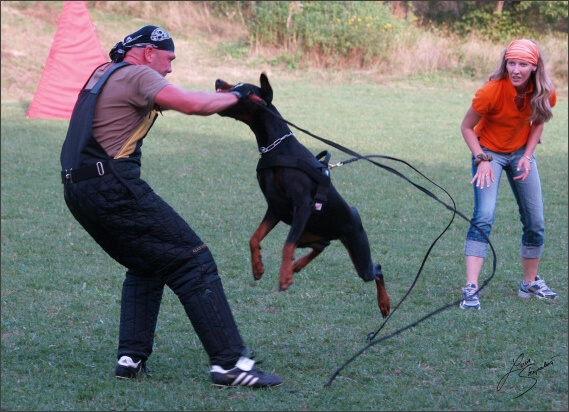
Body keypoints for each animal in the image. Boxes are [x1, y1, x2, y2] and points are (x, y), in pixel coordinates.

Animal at [214, 74, 390, 318]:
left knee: (376, 270)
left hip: (355, 247)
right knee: (322, 244)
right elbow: (254, 238)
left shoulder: (303, 205)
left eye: (243, 88)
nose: (217, 80)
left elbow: (286, 246)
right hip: (308, 231)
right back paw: (296, 265)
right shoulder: (276, 208)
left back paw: (384, 303)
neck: (276, 147)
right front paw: (258, 267)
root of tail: (354, 214)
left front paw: (283, 277)